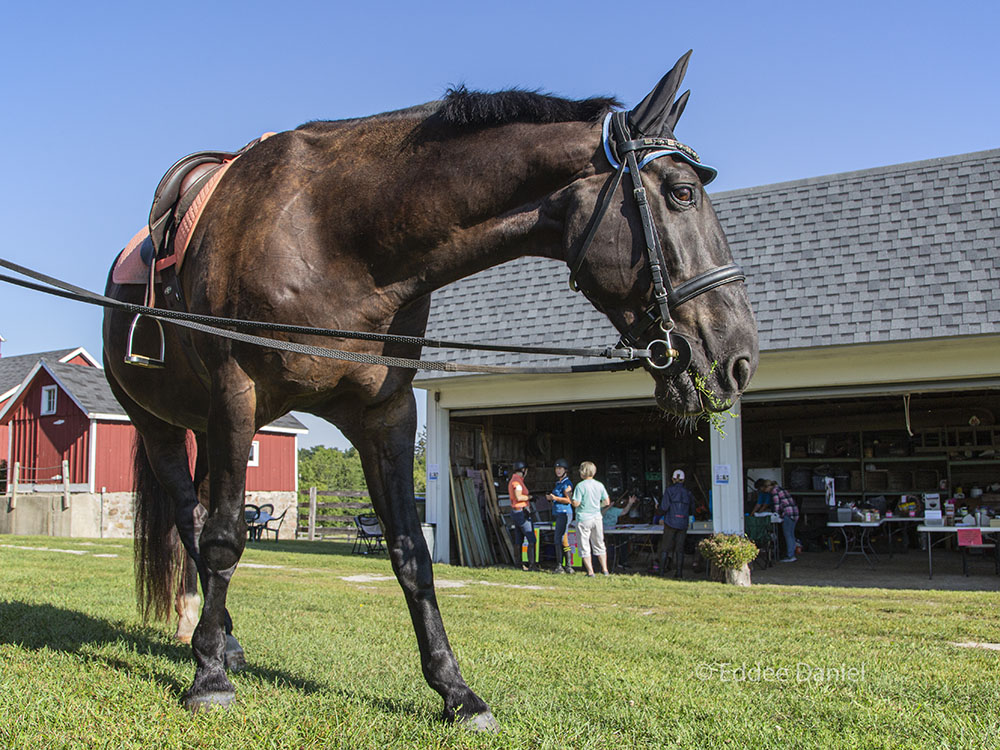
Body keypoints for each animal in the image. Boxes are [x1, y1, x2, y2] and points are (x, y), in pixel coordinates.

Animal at [101, 51, 756, 728]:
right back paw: (213, 644)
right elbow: (226, 539)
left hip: (208, 430)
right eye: (681, 194)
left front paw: (455, 690)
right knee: (191, 517)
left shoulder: (384, 414)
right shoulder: (239, 395)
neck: (332, 234)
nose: (738, 357)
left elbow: (413, 552)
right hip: (161, 424)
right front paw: (208, 678)